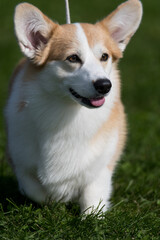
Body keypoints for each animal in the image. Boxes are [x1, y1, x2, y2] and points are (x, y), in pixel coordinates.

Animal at [5, 0, 142, 214]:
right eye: (72, 58)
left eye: (104, 57)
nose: (105, 85)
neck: (68, 111)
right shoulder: (21, 161)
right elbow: (35, 190)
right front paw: (55, 199)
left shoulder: (101, 167)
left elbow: (93, 197)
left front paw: (92, 217)